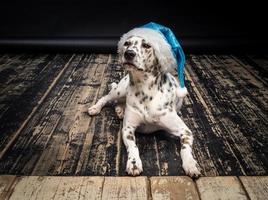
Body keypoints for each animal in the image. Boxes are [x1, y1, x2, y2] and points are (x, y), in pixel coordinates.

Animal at [88, 27, 201, 177]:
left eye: (147, 45)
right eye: (127, 43)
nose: (129, 53)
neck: (145, 90)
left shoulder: (185, 131)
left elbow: (185, 147)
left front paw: (191, 164)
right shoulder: (128, 129)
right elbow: (133, 146)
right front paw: (134, 163)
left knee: (119, 102)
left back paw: (120, 110)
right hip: (119, 90)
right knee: (106, 98)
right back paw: (96, 108)